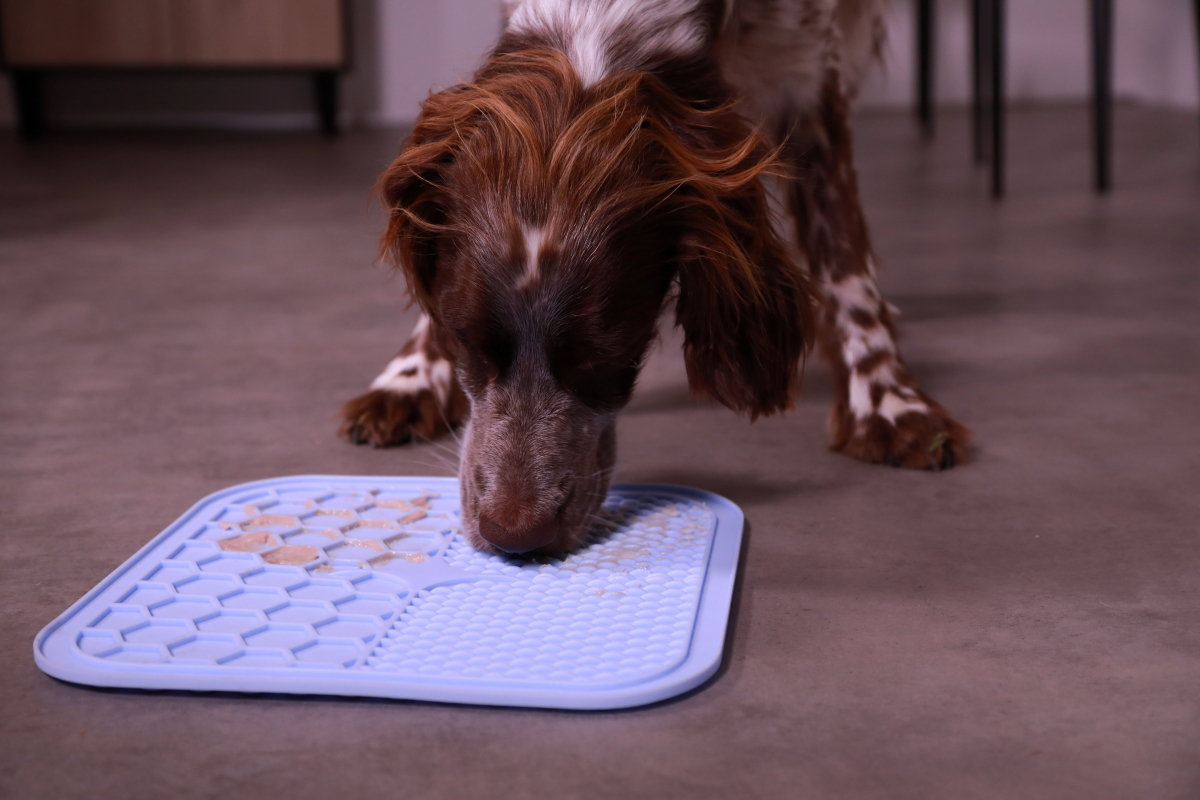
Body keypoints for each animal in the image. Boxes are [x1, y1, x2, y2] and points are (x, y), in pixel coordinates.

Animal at [336, 0, 964, 556]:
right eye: (465, 341)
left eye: (609, 357)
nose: (513, 536)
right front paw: (411, 377)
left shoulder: (810, 81)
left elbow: (845, 265)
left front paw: (887, 402)